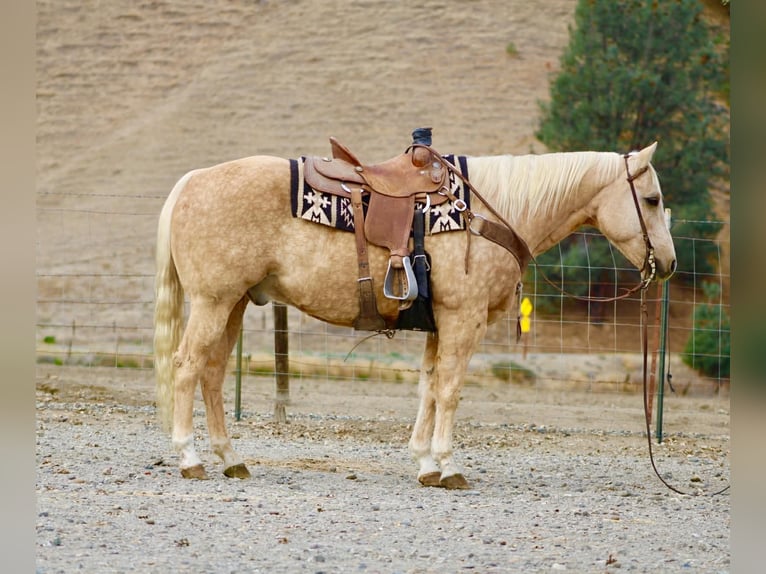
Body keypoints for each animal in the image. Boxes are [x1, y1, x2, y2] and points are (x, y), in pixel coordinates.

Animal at [153, 140, 676, 489]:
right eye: (651, 200)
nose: (668, 263)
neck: (486, 213)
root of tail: (191, 181)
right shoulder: (464, 320)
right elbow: (450, 389)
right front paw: (449, 465)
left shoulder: (438, 325)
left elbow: (428, 386)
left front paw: (424, 462)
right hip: (213, 302)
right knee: (186, 367)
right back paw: (189, 458)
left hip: (234, 303)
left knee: (212, 373)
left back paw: (230, 458)